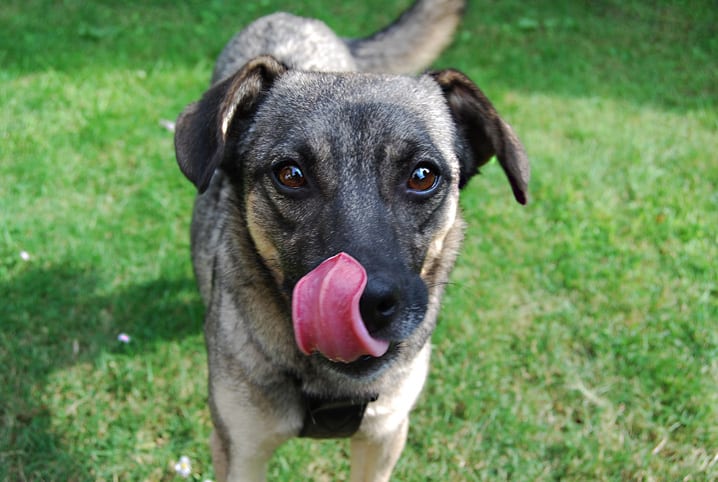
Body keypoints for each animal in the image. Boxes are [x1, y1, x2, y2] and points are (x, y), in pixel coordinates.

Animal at [174, 1, 528, 480]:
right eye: (290, 174)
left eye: (423, 175)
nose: (369, 302)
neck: (331, 386)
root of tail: (292, 18)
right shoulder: (239, 449)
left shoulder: (384, 438)